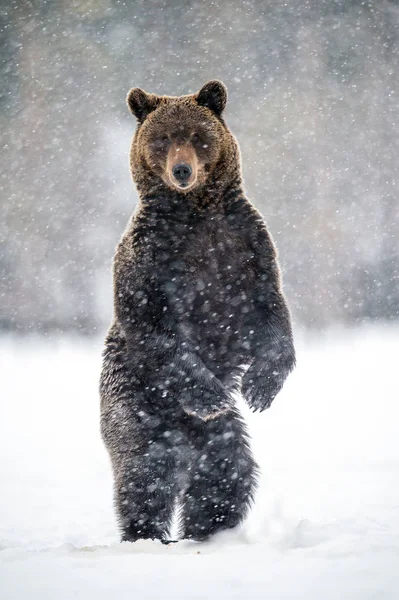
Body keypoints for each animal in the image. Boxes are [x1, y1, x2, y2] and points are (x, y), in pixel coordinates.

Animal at [99, 81, 296, 544]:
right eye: (162, 138)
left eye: (196, 135)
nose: (182, 171)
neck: (197, 213)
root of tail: (185, 431)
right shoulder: (149, 260)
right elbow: (156, 328)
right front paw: (211, 393)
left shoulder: (248, 248)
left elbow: (271, 313)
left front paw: (260, 387)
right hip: (134, 398)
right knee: (146, 465)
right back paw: (146, 532)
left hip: (218, 433)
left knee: (226, 469)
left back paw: (209, 528)